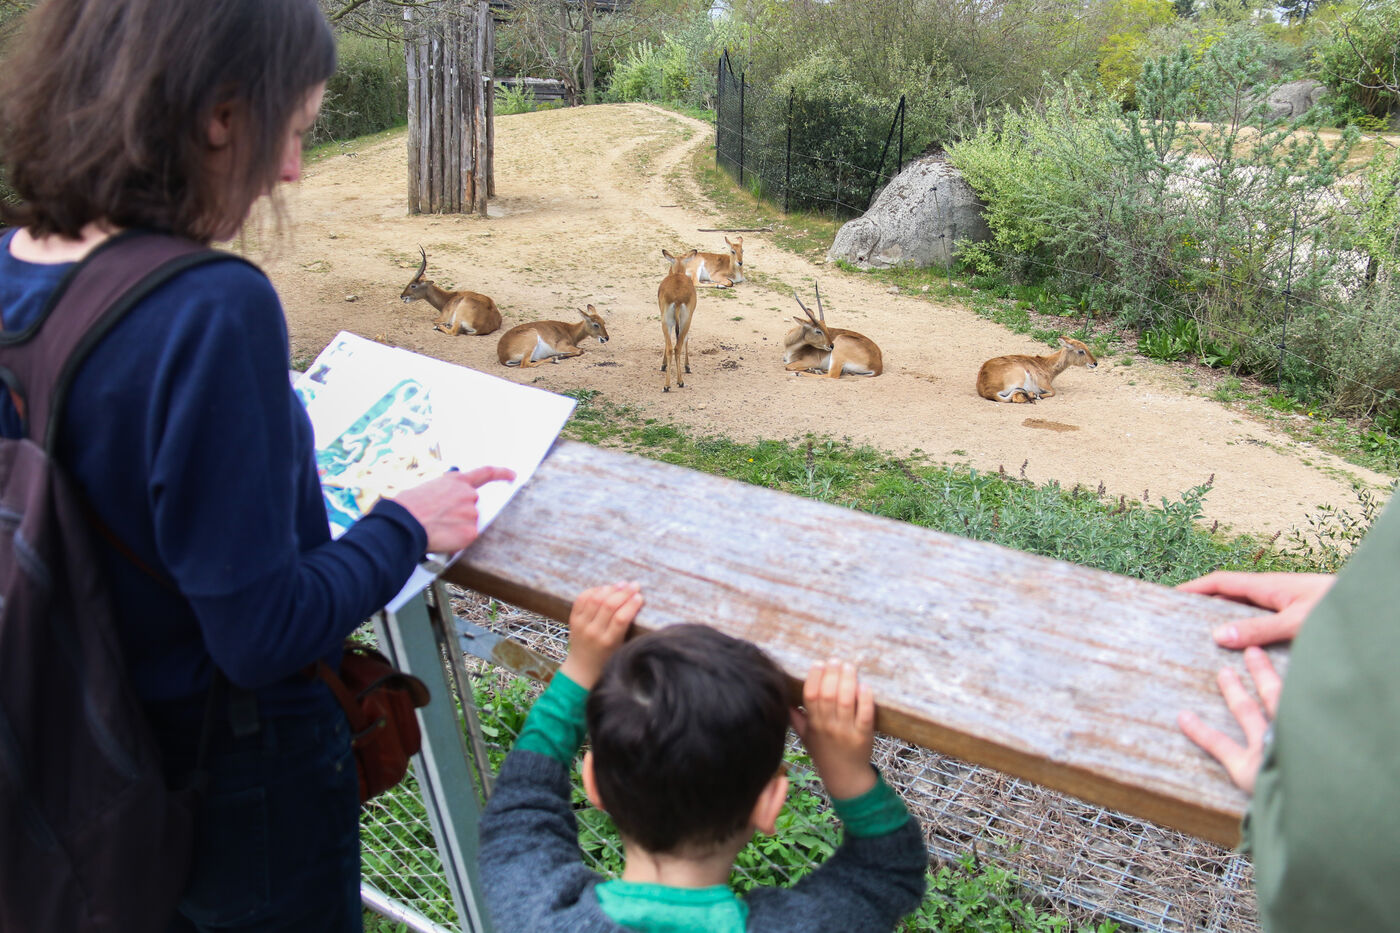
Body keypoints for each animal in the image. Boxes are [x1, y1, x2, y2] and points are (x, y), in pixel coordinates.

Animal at [658, 249, 700, 391]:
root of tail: (677, 300)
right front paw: (687, 366)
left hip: (668, 322)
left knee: (672, 347)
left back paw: (669, 384)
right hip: (684, 321)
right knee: (677, 346)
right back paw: (677, 382)